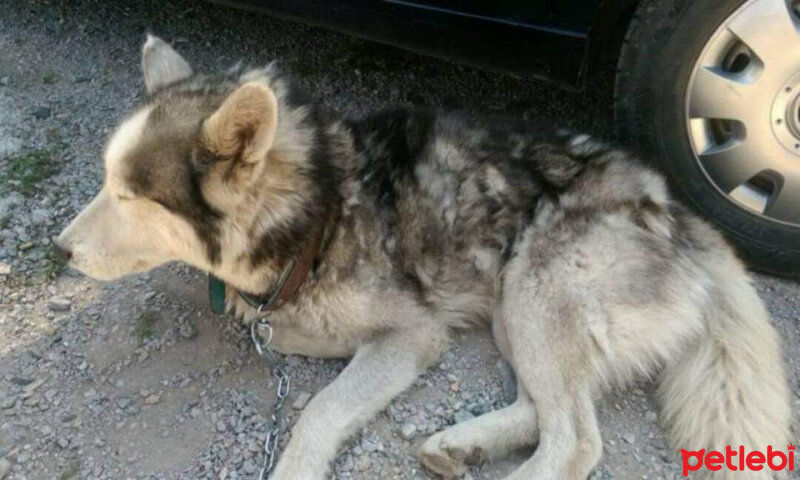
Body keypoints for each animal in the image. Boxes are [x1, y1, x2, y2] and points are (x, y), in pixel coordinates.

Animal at [54, 36, 788, 480]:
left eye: (128, 195)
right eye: (104, 181)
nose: (58, 250)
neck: (319, 208)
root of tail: (677, 207)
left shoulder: (412, 335)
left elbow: (321, 408)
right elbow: (282, 330)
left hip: (537, 288)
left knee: (576, 439)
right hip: (516, 306)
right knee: (550, 406)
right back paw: (462, 443)